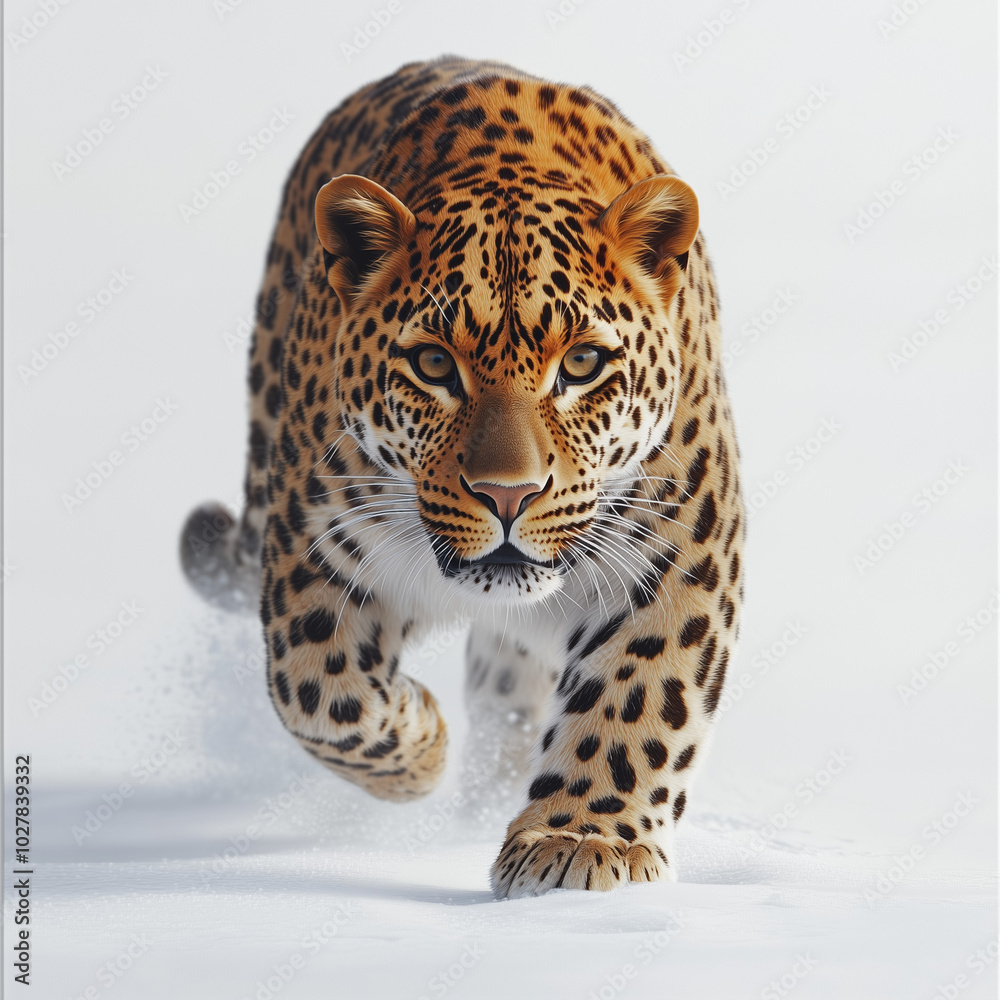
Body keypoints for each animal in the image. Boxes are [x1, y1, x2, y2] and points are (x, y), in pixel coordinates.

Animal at [181, 55, 744, 898]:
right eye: (434, 364)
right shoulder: (311, 550)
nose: (508, 494)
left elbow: (636, 698)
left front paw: (581, 841)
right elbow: (320, 689)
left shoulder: (679, 546)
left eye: (583, 363)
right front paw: (423, 743)